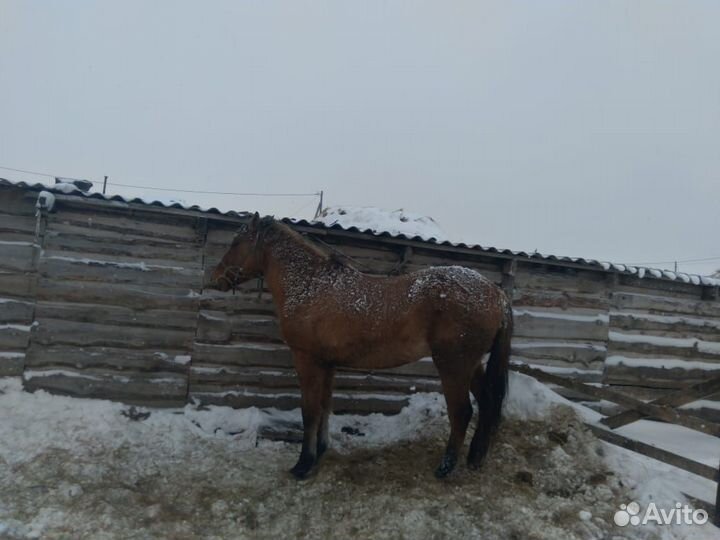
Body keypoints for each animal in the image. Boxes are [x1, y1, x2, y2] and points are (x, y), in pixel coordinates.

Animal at [208, 213, 513, 479]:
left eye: (237, 242)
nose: (216, 278)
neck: (310, 285)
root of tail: (496, 293)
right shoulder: (327, 364)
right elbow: (324, 406)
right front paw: (320, 451)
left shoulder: (307, 360)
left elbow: (309, 411)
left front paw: (303, 465)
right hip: (472, 365)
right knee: (486, 403)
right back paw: (475, 458)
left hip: (453, 366)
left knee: (462, 412)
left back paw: (446, 468)